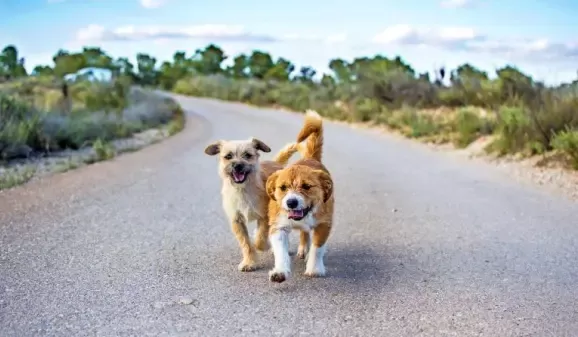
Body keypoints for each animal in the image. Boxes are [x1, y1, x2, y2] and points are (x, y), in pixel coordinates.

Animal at [205, 136, 296, 270]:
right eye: (228, 156)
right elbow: (246, 243)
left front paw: (264, 245)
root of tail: (276, 163)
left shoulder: (264, 217)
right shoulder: (237, 221)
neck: (242, 189)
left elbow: (260, 238)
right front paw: (249, 262)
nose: (237, 165)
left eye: (247, 155)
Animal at [264, 110, 332, 280]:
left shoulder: (324, 225)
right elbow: (281, 251)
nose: (291, 202)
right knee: (303, 233)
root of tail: (310, 158)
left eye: (307, 186)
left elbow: (317, 248)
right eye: (283, 187)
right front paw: (280, 271)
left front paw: (314, 268)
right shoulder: (278, 227)